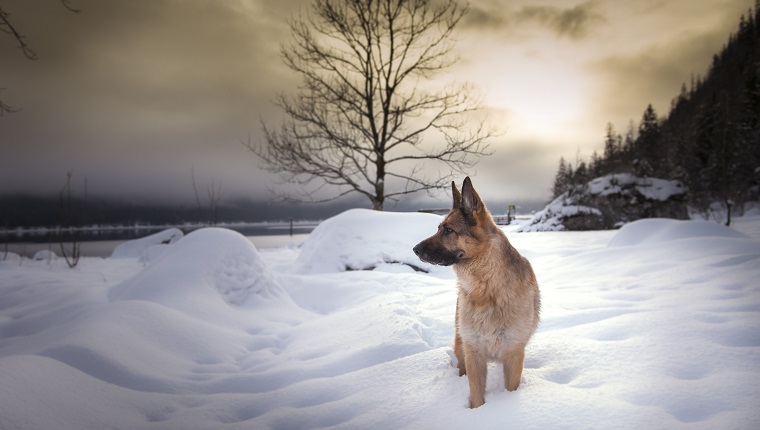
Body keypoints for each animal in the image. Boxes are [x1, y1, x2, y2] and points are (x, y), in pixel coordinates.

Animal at [416, 176, 540, 408]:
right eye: (439, 228)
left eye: (448, 230)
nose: (415, 249)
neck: (486, 287)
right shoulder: (473, 353)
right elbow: (476, 396)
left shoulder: (513, 354)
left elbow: (511, 387)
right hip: (460, 345)